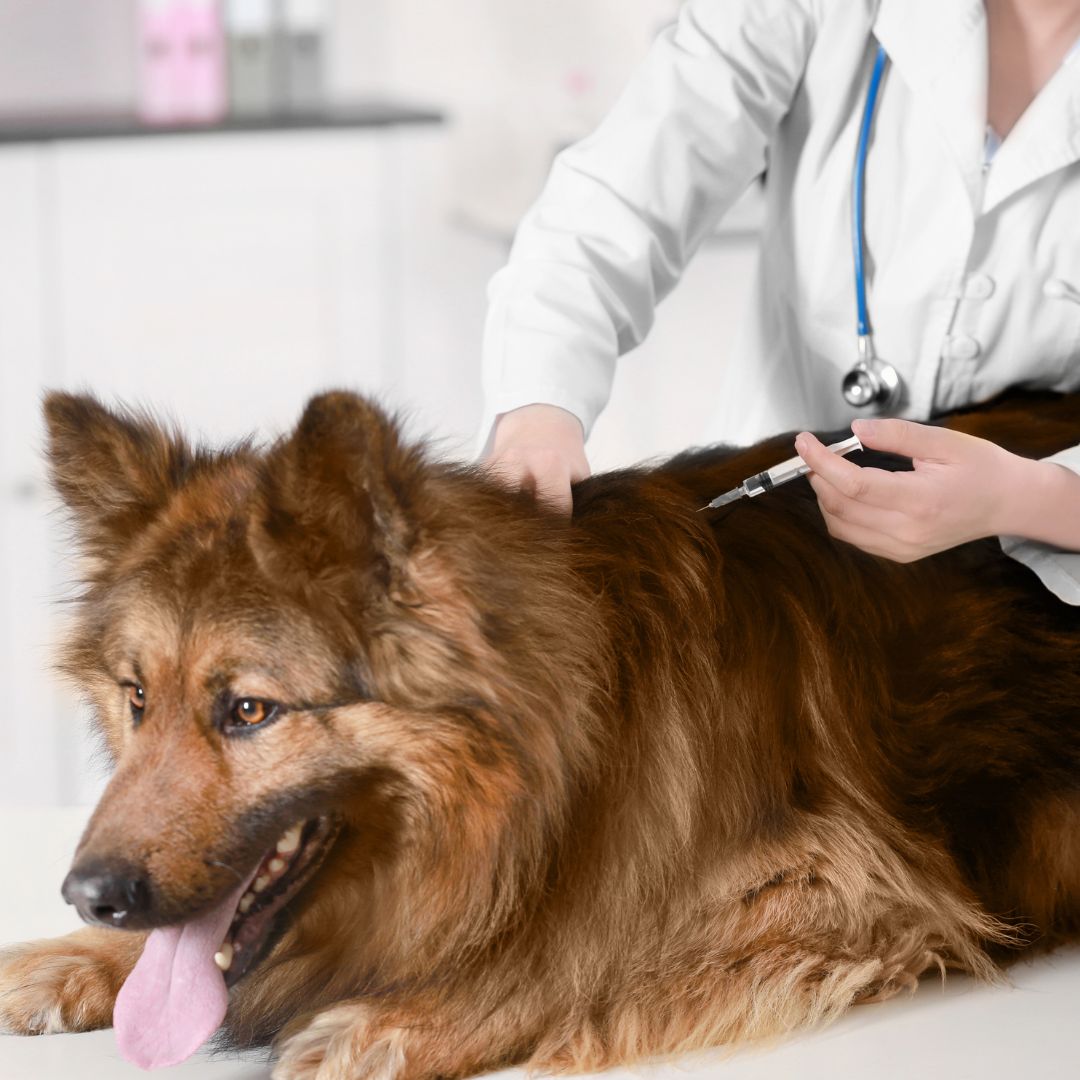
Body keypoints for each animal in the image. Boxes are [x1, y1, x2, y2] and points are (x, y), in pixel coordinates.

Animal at [2, 390, 1080, 1080]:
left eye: (250, 712)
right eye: (137, 698)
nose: (90, 896)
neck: (566, 748)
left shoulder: (852, 885)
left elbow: (579, 950)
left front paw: (405, 1020)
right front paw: (73, 961)